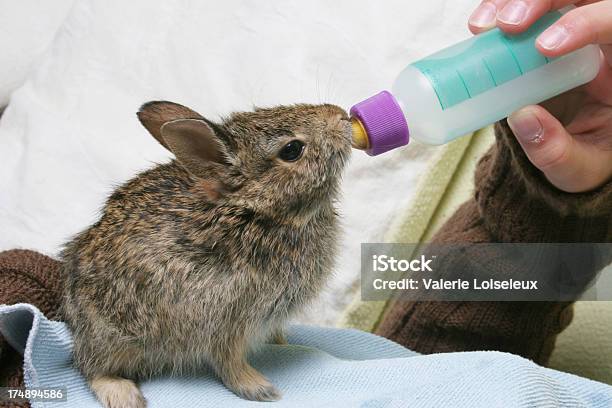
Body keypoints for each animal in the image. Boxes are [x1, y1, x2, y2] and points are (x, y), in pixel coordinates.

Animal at [60, 100, 352, 406]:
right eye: (292, 149)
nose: (340, 115)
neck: (254, 211)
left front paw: (282, 345)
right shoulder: (225, 318)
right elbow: (228, 360)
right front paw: (258, 388)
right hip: (114, 334)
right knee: (90, 367)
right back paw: (124, 394)